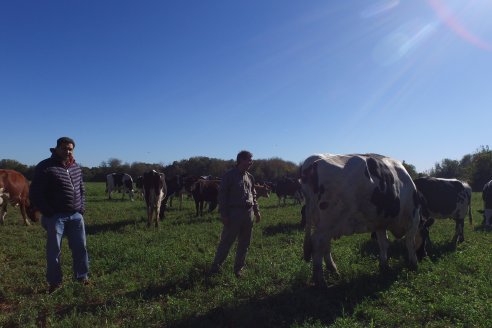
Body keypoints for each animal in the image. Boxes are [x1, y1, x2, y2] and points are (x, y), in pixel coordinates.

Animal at [300, 154, 426, 288]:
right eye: (425, 235)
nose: (424, 255)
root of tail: (312, 162)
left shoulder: (380, 223)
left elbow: (384, 244)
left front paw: (384, 265)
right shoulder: (414, 218)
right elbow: (410, 242)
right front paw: (414, 263)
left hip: (323, 223)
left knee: (324, 245)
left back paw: (333, 270)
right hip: (328, 221)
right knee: (318, 243)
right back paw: (320, 280)